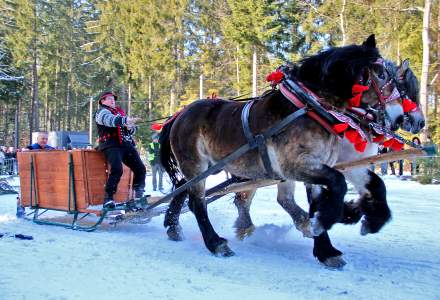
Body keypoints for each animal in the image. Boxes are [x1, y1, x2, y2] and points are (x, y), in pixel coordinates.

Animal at [160, 34, 404, 268]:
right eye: (381, 73)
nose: (400, 118)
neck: (310, 106)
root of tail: (179, 115)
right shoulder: (294, 165)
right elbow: (338, 183)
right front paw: (324, 221)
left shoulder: (322, 166)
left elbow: (337, 194)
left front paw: (327, 249)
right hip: (197, 164)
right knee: (197, 201)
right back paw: (215, 243)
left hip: (209, 166)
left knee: (182, 188)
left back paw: (173, 226)